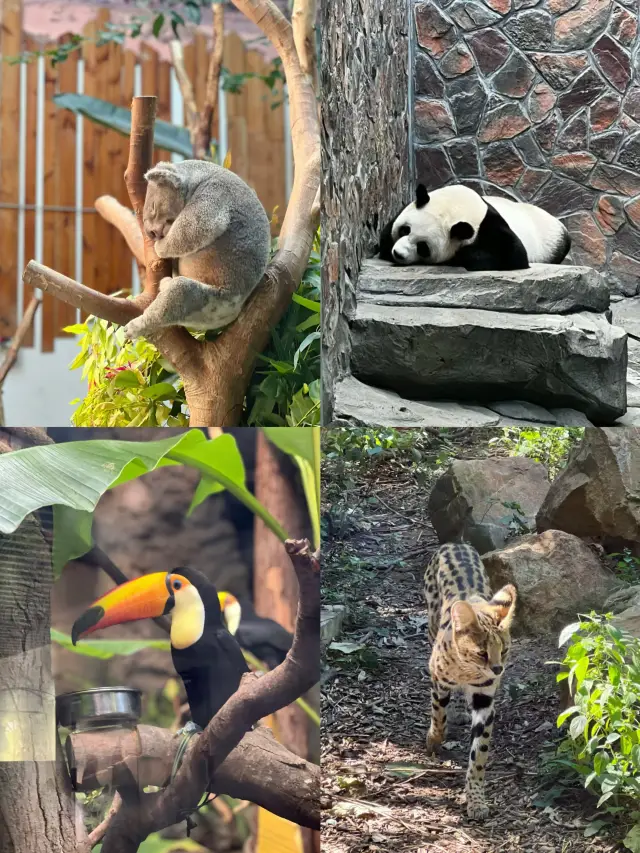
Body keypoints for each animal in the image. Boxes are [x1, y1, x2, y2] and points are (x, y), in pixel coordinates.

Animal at [378, 183, 568, 270]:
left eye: (423, 247)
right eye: (405, 229)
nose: (398, 254)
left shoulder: (491, 226)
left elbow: (515, 256)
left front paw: (461, 256)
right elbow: (385, 235)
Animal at [422, 544, 516, 820]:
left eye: (504, 650)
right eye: (481, 653)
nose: (498, 669)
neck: (468, 671)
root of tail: (455, 543)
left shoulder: (484, 699)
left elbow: (479, 754)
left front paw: (476, 800)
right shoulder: (438, 678)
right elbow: (438, 714)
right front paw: (434, 740)